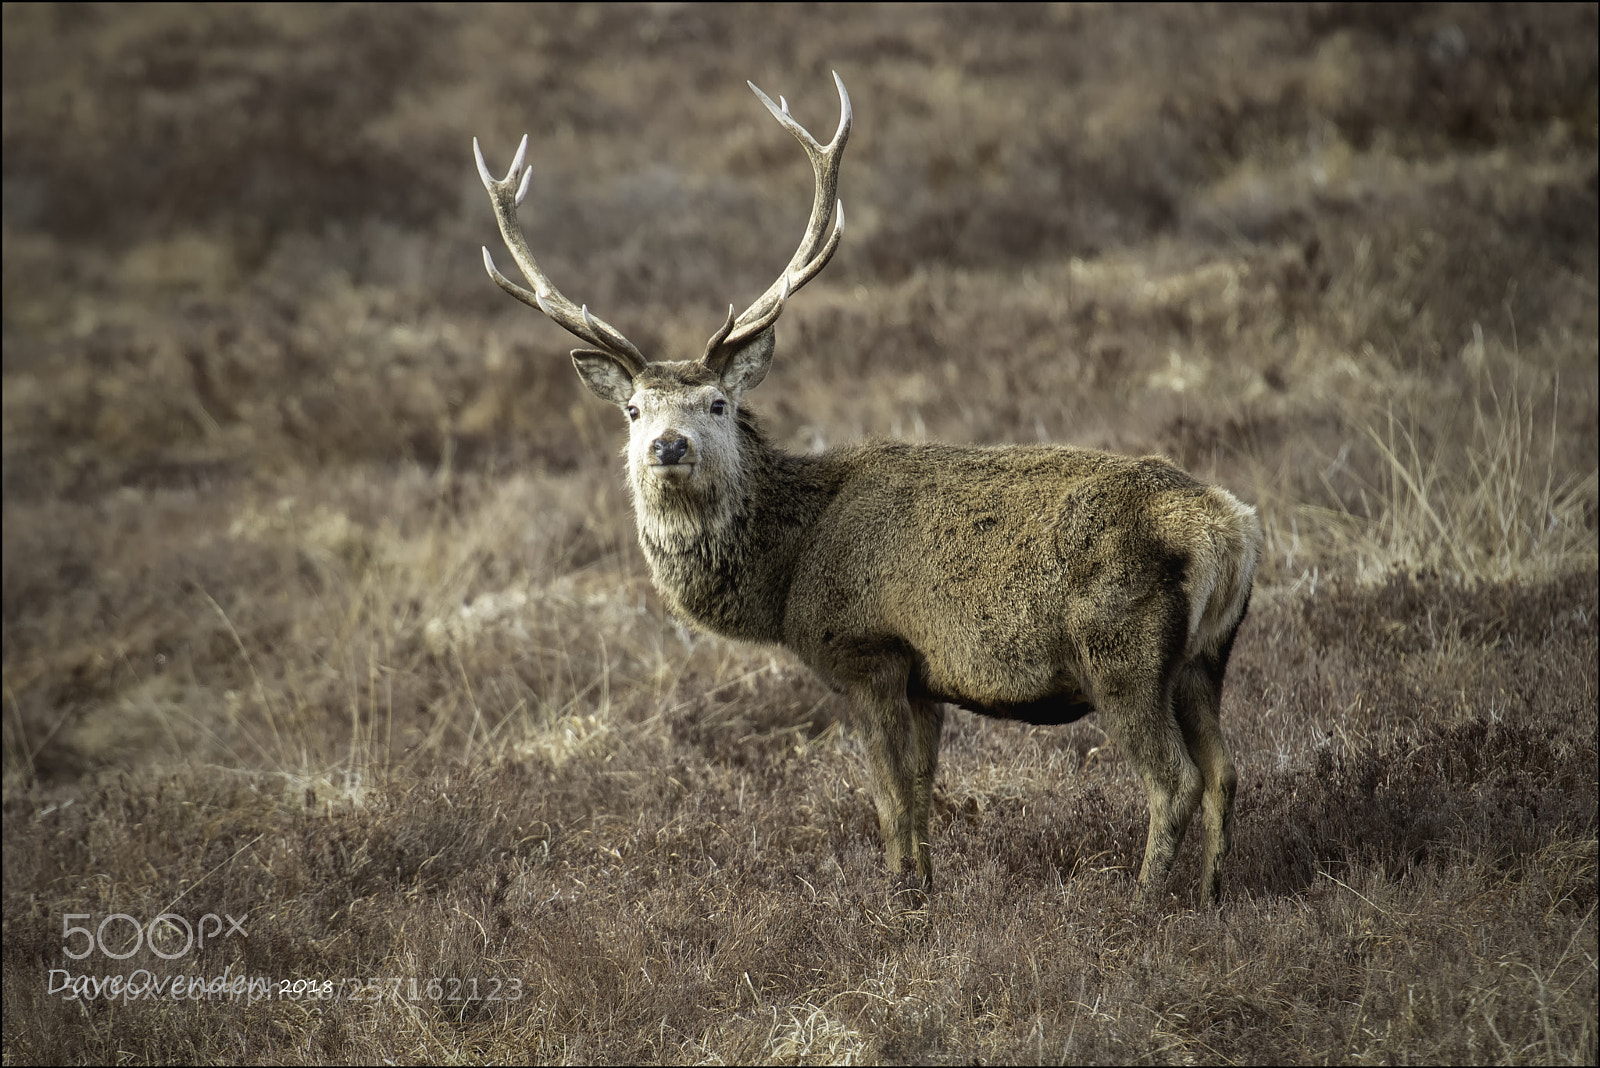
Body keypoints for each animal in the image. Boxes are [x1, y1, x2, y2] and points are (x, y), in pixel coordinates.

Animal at [473, 73, 1262, 906]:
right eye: (633, 409)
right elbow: (922, 790)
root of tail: (1231, 531)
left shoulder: (866, 649)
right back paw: (1210, 896)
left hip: (1122, 651)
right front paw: (926, 890)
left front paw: (898, 898)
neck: (786, 575)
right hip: (1206, 656)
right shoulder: (926, 677)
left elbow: (888, 799)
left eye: (716, 402)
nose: (667, 446)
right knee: (1225, 771)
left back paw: (1143, 904)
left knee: (1174, 780)